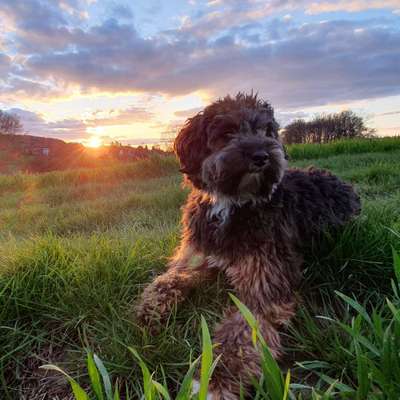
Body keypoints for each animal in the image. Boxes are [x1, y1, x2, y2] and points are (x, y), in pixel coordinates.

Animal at [136, 93, 360, 396]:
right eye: (228, 132)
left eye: (266, 131)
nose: (261, 156)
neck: (230, 203)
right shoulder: (195, 258)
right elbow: (169, 279)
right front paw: (149, 308)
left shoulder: (263, 286)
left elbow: (242, 332)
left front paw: (213, 380)